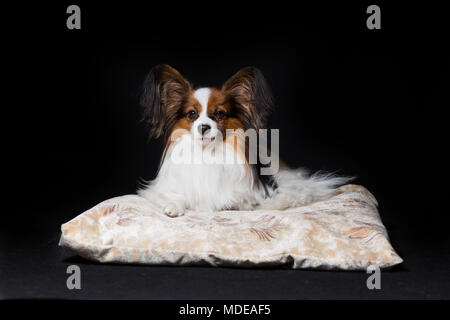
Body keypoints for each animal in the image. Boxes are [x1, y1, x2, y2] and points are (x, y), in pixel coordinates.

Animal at [139, 63, 350, 216]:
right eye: (192, 114)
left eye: (220, 114)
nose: (204, 127)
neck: (208, 152)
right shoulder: (162, 189)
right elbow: (177, 196)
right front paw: (175, 206)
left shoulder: (251, 193)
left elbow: (234, 201)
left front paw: (226, 205)